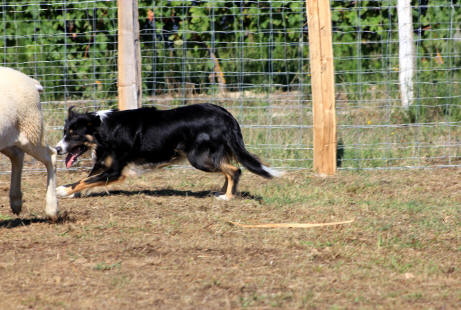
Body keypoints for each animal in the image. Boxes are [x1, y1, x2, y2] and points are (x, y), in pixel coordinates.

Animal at [0, 67, 57, 219]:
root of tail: (31, 81)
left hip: (31, 129)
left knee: (51, 155)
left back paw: (52, 209)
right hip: (9, 136)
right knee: (17, 155)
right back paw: (16, 201)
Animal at [55, 103, 282, 200]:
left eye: (74, 134)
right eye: (65, 132)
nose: (57, 149)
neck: (103, 130)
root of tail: (226, 115)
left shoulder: (115, 171)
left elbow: (85, 180)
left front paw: (62, 191)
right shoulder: (104, 163)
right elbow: (86, 178)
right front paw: (72, 192)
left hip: (198, 157)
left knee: (235, 170)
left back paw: (227, 197)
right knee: (228, 171)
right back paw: (223, 192)